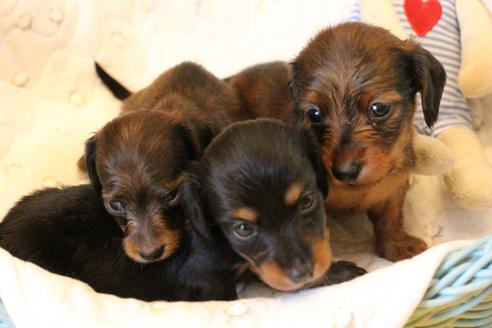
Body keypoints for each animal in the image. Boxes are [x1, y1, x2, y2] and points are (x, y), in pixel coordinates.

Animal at [227, 21, 446, 260]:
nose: (344, 171)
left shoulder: (393, 188)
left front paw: (396, 244)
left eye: (379, 108)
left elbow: (390, 217)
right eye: (314, 114)